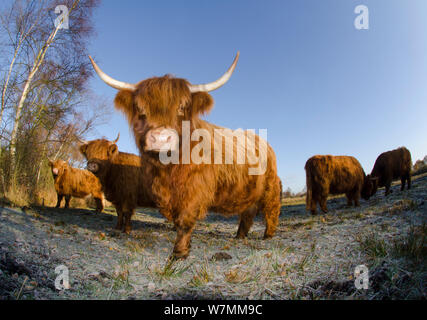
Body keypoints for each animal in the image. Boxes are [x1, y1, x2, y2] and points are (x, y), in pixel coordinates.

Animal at [89, 52, 284, 258]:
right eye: (140, 109)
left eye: (182, 107)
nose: (161, 138)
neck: (167, 169)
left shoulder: (194, 190)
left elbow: (184, 220)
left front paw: (180, 252)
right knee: (248, 212)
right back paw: (239, 236)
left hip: (270, 187)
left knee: (271, 210)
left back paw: (268, 236)